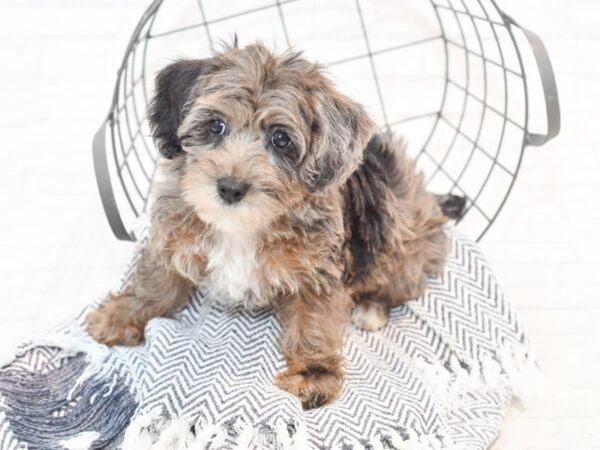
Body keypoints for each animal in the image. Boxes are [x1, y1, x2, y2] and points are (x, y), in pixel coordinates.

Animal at [86, 44, 458, 410]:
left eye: (280, 139)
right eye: (216, 125)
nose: (230, 188)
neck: (243, 226)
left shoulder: (317, 274)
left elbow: (314, 324)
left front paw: (313, 373)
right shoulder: (172, 234)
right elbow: (155, 281)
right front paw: (122, 314)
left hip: (399, 241)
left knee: (398, 283)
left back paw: (371, 309)